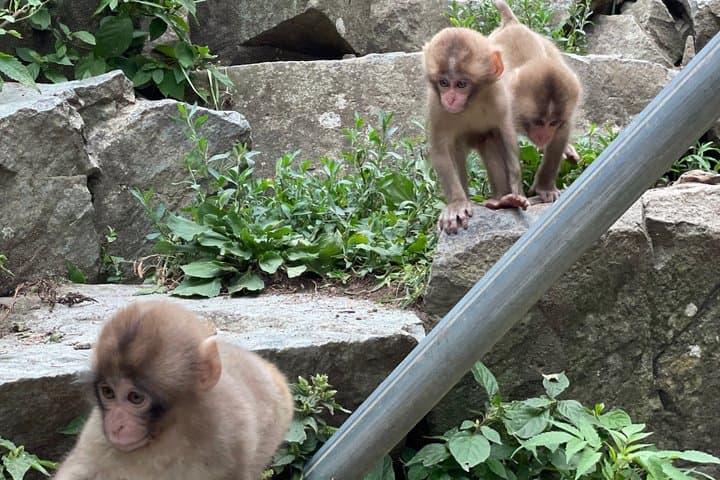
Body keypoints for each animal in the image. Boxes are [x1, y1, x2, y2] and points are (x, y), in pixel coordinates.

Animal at [53, 300, 294, 480]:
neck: (169, 431)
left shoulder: (232, 435)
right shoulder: (97, 433)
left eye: (135, 397)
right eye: (108, 393)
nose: (116, 425)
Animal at [423, 27, 529, 234]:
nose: (450, 99)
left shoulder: (498, 95)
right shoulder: (436, 106)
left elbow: (506, 135)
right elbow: (441, 150)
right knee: (456, 150)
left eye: (461, 84)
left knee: (490, 141)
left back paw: (503, 199)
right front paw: (456, 204)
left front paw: (516, 194)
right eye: (444, 83)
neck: (471, 103)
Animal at [489, 0, 583, 203]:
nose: (544, 136)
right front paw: (513, 196)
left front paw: (545, 187)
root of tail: (512, 24)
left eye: (553, 123)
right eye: (538, 122)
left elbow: (559, 140)